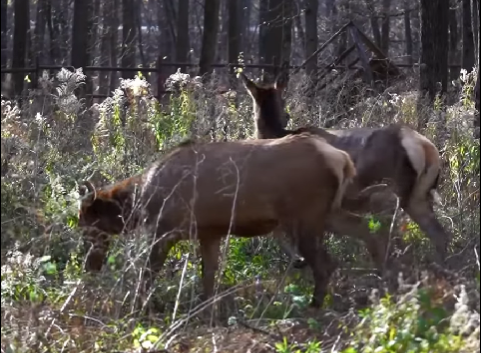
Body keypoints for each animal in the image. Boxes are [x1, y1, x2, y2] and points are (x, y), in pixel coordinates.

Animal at [78, 133, 356, 306]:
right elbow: (209, 278)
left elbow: (148, 274)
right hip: (329, 213)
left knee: (326, 264)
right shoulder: (209, 233)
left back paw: (315, 307)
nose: (89, 265)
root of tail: (343, 159)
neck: (142, 203)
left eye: (87, 224)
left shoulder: (165, 230)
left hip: (306, 216)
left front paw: (137, 307)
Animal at [240, 71, 450, 272]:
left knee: (392, 237)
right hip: (418, 196)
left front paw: (299, 260)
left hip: (388, 194)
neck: (277, 135)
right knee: (438, 234)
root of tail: (425, 148)